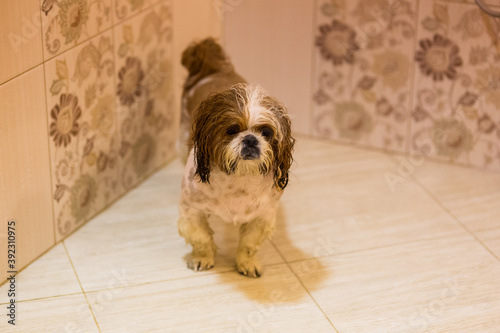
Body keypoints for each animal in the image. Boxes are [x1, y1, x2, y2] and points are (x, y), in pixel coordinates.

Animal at [177, 40, 292, 278]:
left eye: (266, 132)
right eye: (232, 130)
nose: (250, 139)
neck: (238, 180)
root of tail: (214, 67)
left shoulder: (262, 216)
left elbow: (249, 244)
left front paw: (247, 263)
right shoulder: (191, 211)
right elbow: (201, 238)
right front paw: (202, 258)